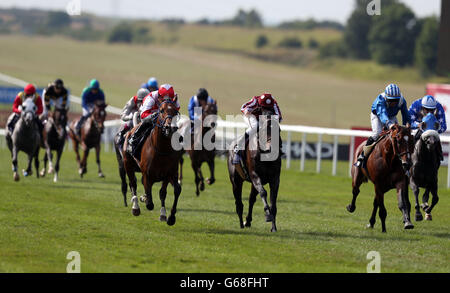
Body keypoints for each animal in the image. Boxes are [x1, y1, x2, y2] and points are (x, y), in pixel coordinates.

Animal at [122, 97, 182, 225]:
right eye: (161, 110)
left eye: (176, 111)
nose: (170, 127)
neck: (161, 150)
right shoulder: (147, 174)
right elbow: (150, 203)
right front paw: (145, 200)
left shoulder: (168, 174)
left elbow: (166, 192)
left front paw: (168, 216)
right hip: (127, 164)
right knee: (133, 183)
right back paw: (135, 207)